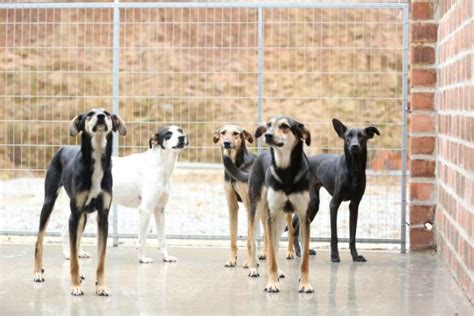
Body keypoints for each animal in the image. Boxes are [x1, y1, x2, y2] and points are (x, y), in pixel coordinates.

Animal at [32, 108, 127, 296]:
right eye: (89, 114)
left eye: (107, 113)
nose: (100, 116)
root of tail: (63, 147)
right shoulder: (74, 215)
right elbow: (74, 258)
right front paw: (75, 286)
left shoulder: (102, 217)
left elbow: (100, 259)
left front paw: (101, 286)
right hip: (50, 202)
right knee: (39, 240)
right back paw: (38, 272)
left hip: (83, 217)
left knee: (75, 244)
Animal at [62, 126, 188, 264]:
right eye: (168, 134)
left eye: (180, 131)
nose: (182, 138)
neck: (160, 163)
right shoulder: (145, 210)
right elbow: (142, 240)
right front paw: (142, 259)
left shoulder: (159, 210)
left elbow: (163, 239)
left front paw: (166, 257)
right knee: (66, 232)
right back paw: (68, 255)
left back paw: (79, 253)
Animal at [224, 116, 312, 294]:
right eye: (269, 124)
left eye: (285, 126)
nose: (268, 135)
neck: (286, 171)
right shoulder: (270, 217)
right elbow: (270, 255)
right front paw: (272, 283)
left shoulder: (303, 217)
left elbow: (304, 258)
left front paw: (305, 284)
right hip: (256, 210)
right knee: (252, 241)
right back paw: (253, 269)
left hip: (281, 219)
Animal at [292, 118, 382, 262]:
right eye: (348, 137)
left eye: (361, 136)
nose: (354, 146)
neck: (354, 169)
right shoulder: (334, 204)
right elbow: (334, 235)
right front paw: (334, 255)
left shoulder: (354, 205)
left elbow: (352, 235)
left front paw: (355, 255)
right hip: (311, 203)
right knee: (295, 227)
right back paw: (299, 252)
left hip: (313, 206)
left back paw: (305, 251)